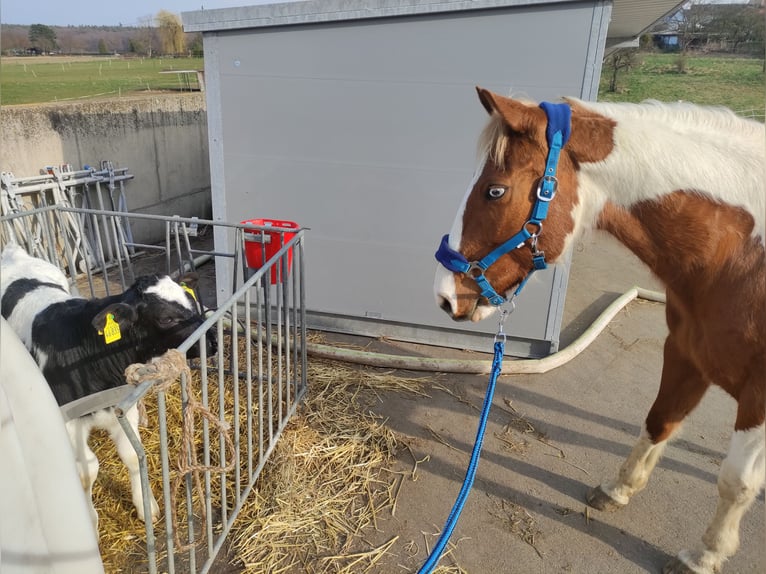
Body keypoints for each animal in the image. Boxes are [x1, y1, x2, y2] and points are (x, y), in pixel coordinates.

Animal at [433, 87, 765, 574]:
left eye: (495, 190)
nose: (443, 295)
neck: (741, 256)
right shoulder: (686, 352)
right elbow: (658, 421)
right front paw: (618, 490)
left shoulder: (758, 395)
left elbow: (736, 481)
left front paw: (705, 554)